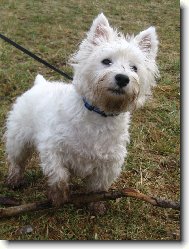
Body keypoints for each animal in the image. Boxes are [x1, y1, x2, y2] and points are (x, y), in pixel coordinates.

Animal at [4, 13, 159, 207]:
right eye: (106, 61)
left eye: (134, 68)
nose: (123, 78)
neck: (99, 113)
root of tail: (40, 83)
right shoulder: (52, 147)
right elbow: (59, 174)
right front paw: (58, 196)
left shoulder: (109, 163)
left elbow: (98, 188)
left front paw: (96, 205)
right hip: (18, 138)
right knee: (16, 161)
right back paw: (14, 180)